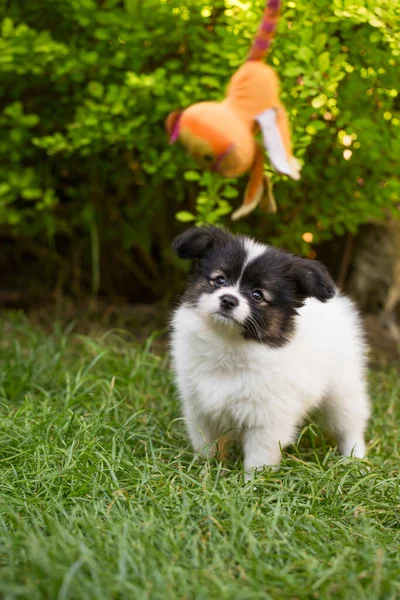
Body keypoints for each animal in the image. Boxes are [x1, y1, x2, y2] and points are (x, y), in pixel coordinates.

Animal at [170, 227, 370, 480]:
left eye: (257, 295)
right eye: (220, 280)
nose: (228, 300)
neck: (228, 344)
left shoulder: (268, 418)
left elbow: (258, 458)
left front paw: (251, 485)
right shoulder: (201, 407)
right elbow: (208, 445)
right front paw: (208, 474)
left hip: (342, 389)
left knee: (349, 424)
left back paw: (356, 461)